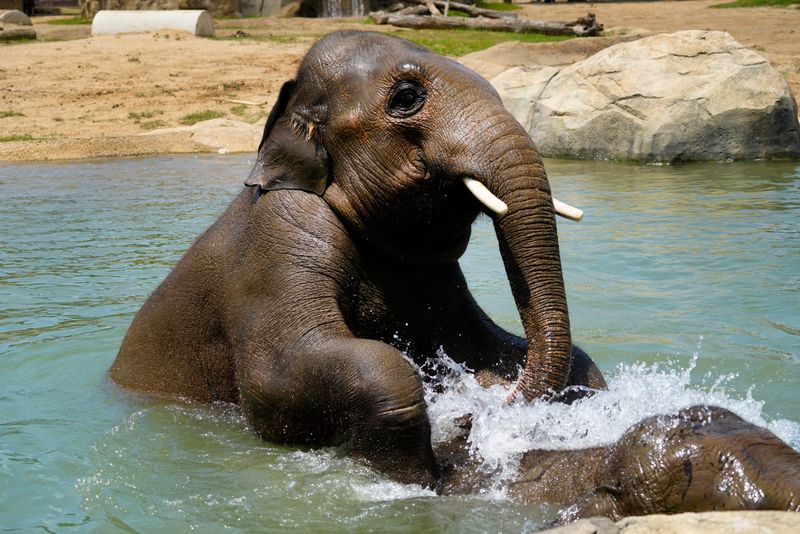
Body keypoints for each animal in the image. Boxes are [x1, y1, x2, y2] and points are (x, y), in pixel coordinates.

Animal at [110, 30, 606, 488]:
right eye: (406, 97)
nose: (471, 418)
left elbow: (485, 346)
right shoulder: (275, 244)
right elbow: (278, 381)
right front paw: (416, 476)